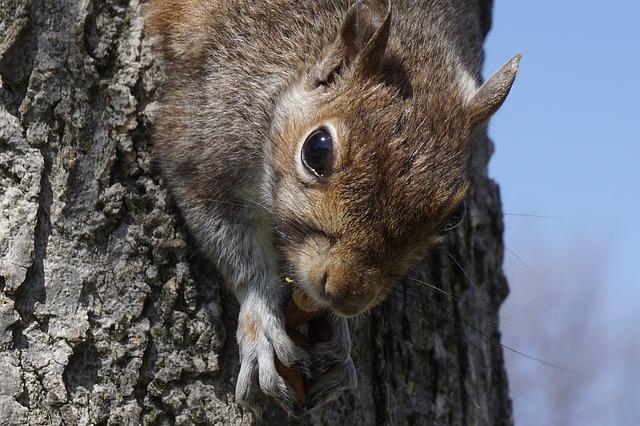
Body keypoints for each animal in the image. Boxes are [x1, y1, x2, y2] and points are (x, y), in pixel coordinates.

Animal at [146, 0, 520, 416]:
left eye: (455, 216)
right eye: (317, 149)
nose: (346, 295)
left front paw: (340, 337)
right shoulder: (204, 127)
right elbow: (225, 233)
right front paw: (263, 321)